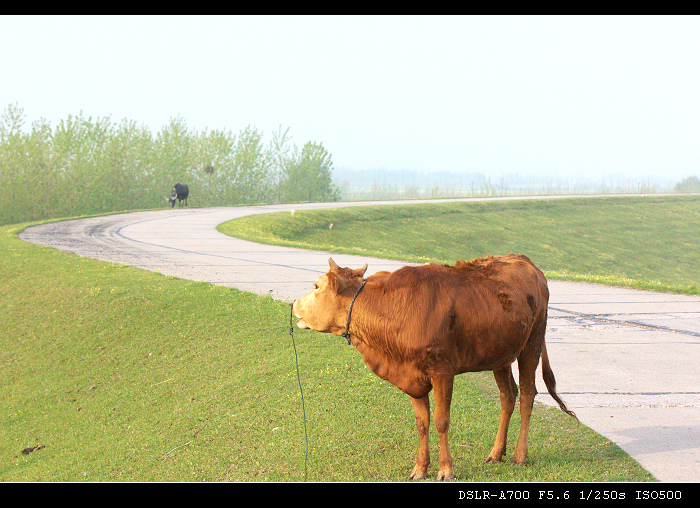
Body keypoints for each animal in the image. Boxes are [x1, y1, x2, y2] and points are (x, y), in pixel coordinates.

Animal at [292, 256, 576, 482]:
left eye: (316, 286)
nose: (293, 302)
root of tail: (525, 261)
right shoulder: (413, 374)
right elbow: (422, 422)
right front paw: (420, 468)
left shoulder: (442, 370)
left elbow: (441, 420)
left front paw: (446, 469)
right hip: (501, 352)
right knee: (508, 395)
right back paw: (496, 453)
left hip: (532, 343)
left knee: (527, 394)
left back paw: (519, 455)